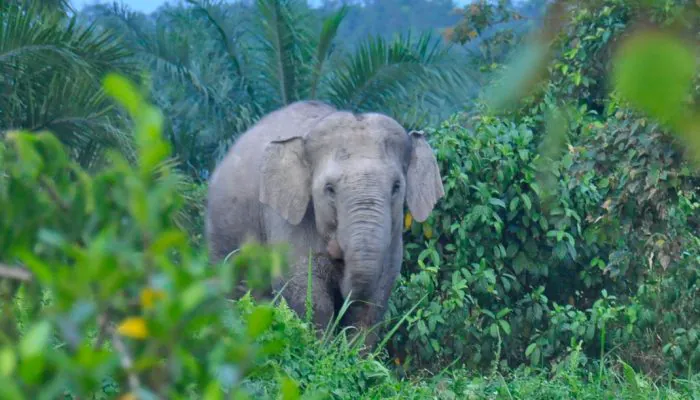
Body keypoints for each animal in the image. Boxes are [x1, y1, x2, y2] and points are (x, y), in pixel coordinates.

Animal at [204, 100, 442, 350]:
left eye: (396, 186)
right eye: (329, 189)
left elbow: (375, 296)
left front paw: (352, 353)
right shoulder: (285, 217)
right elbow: (305, 290)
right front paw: (321, 349)